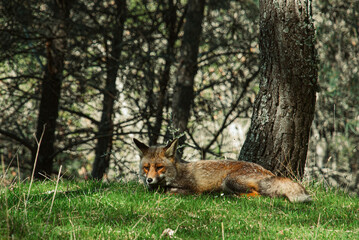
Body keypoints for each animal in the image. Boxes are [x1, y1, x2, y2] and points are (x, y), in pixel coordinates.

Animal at [134, 137, 314, 202]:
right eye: (146, 168)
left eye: (159, 167)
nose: (149, 179)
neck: (176, 174)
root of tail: (268, 172)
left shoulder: (192, 189)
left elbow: (168, 192)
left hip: (230, 180)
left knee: (260, 195)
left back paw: (231, 196)